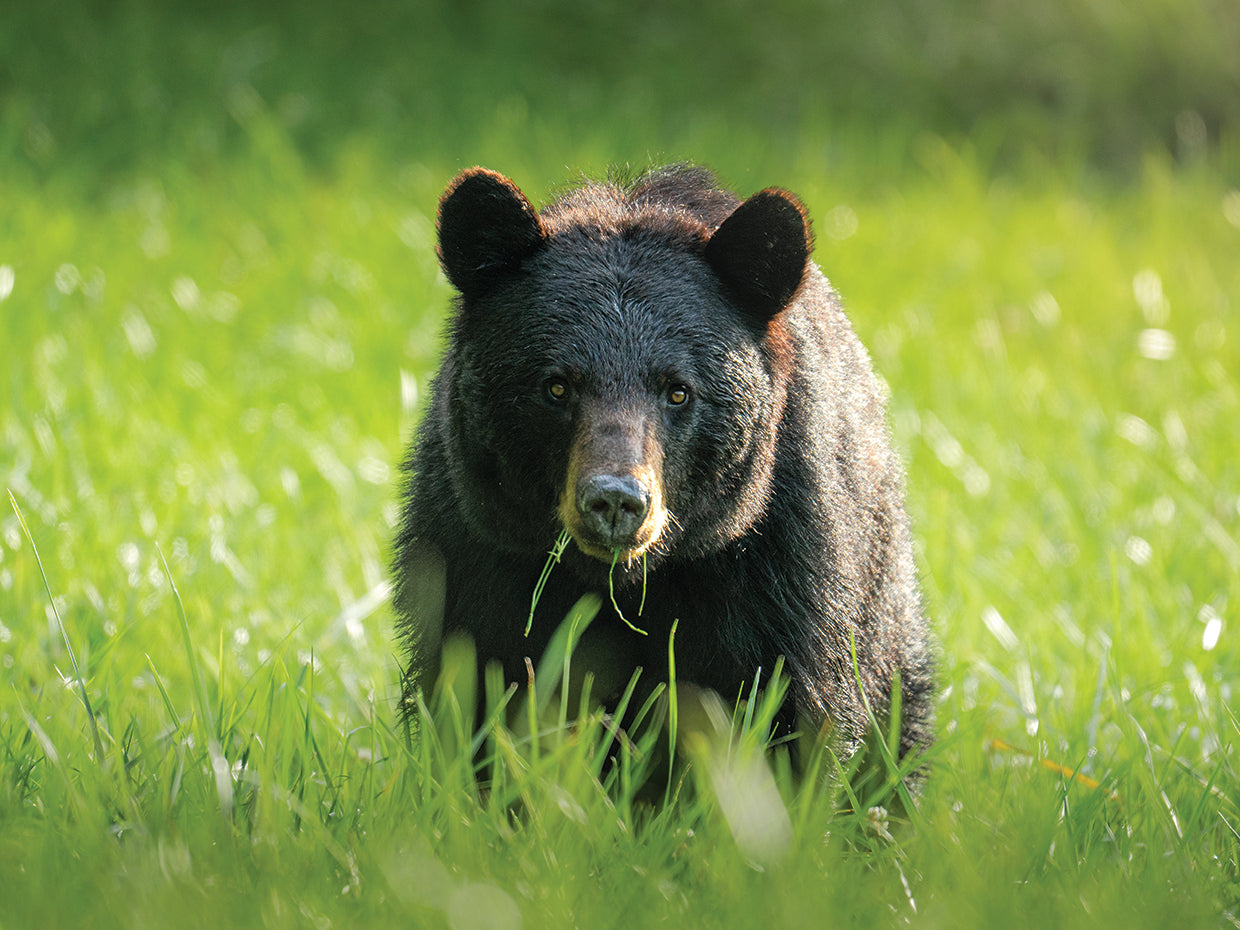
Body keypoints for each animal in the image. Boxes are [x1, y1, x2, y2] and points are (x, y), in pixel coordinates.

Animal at [393, 164, 935, 783]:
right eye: (557, 386)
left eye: (678, 391)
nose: (615, 501)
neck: (624, 582)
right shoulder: (475, 548)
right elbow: (481, 682)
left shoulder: (779, 567)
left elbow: (782, 708)